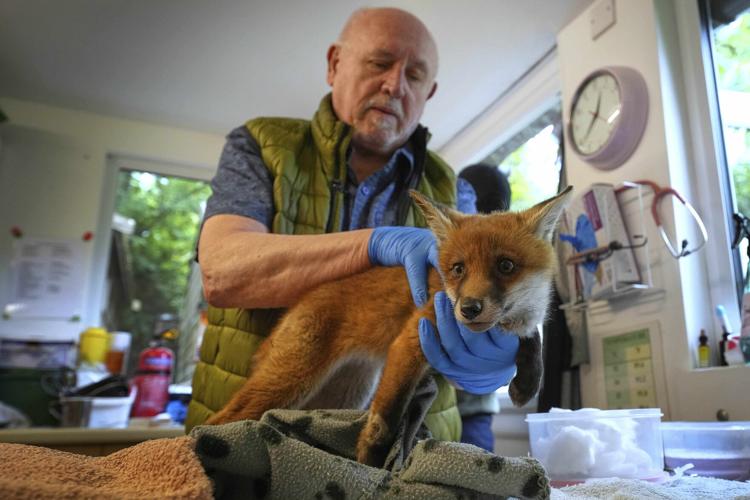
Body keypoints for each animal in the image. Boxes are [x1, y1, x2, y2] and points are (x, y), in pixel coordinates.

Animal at [206, 186, 573, 467]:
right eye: (458, 269)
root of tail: (300, 302)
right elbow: (384, 421)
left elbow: (533, 341)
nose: (468, 309)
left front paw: (527, 382)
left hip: (346, 392)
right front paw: (370, 463)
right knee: (222, 418)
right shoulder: (410, 342)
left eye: (506, 265)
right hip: (293, 379)